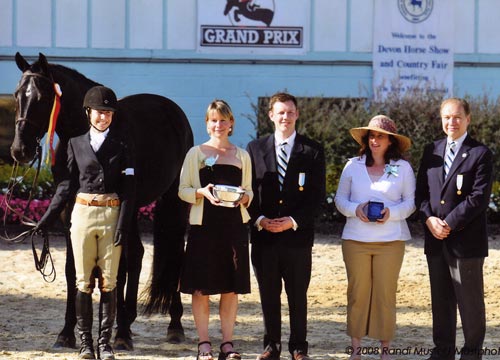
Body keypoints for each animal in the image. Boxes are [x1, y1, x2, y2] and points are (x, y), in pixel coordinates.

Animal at [11, 52, 193, 350]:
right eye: (16, 95)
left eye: (41, 97)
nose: (19, 150)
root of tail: (173, 112)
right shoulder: (70, 209)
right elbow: (73, 270)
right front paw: (67, 333)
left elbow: (116, 270)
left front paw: (118, 335)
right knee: (138, 254)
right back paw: (127, 319)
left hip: (172, 202)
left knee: (172, 252)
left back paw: (171, 325)